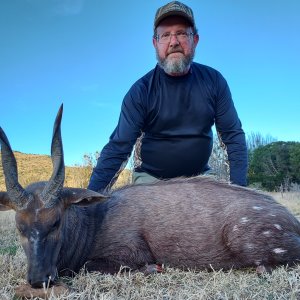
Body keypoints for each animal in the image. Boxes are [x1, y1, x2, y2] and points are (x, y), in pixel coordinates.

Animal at [0, 105, 300, 288]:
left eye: (56, 222)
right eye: (19, 227)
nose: (38, 279)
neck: (94, 222)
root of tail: (292, 222)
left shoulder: (130, 252)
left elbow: (92, 266)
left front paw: (152, 269)